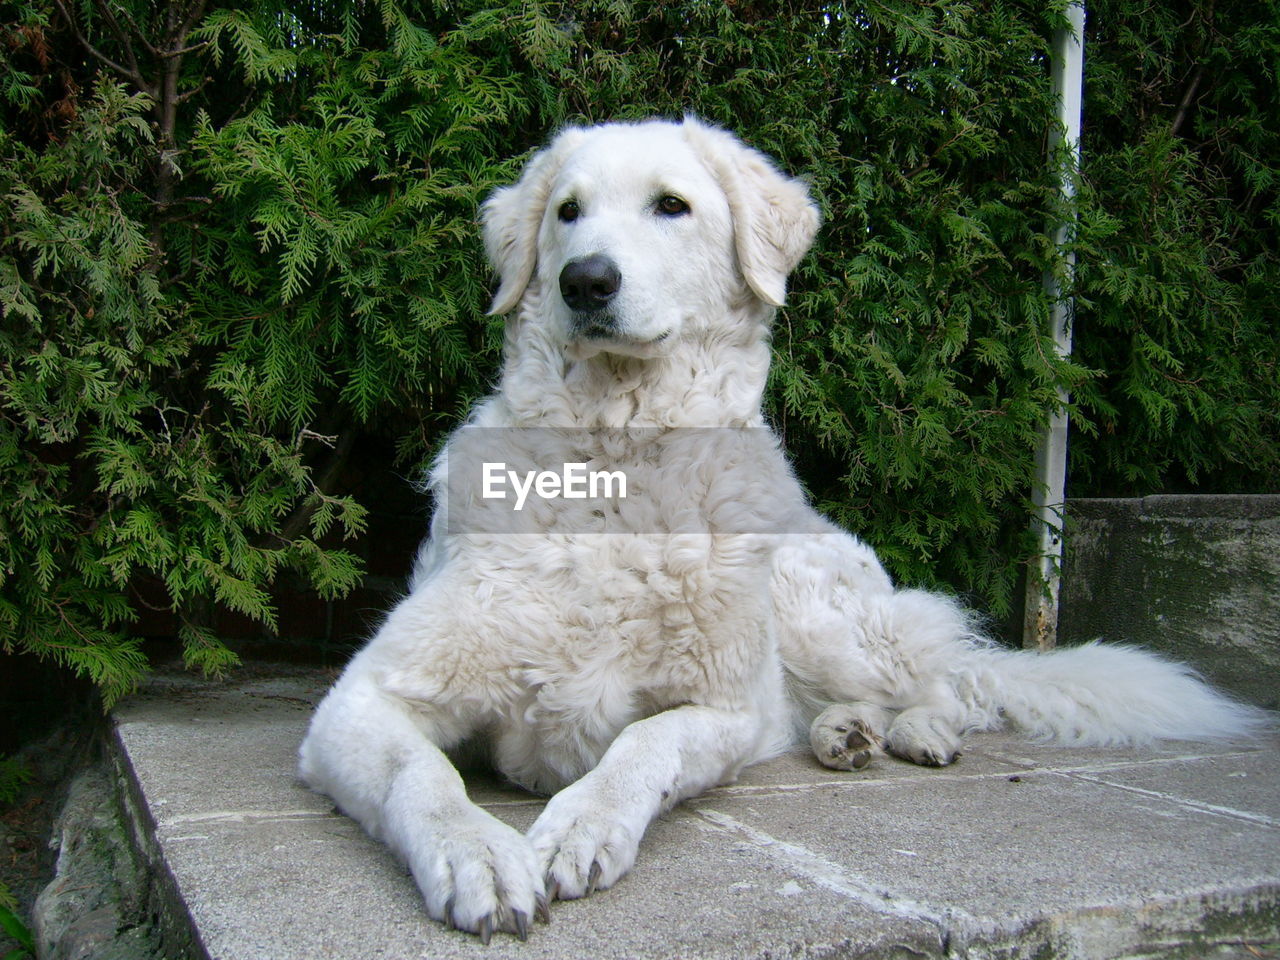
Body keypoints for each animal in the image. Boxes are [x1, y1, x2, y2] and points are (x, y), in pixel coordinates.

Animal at [296, 116, 1259, 942]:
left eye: (671, 205)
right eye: (567, 211)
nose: (585, 281)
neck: (619, 459)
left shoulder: (724, 708)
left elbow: (645, 743)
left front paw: (581, 825)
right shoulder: (360, 700)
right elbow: (424, 776)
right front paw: (480, 855)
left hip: (825, 618)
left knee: (949, 684)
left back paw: (915, 732)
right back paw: (844, 735)